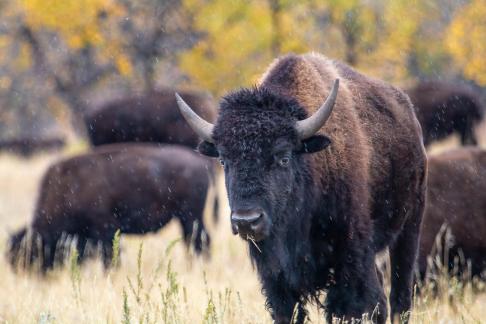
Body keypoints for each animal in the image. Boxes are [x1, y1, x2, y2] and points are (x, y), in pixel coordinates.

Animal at [7, 144, 213, 270]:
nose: (28, 274)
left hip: (190, 216)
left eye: (32, 253)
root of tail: (201, 163)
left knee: (198, 242)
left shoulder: (105, 230)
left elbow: (110, 258)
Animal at [177, 52, 428, 322]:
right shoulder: (277, 279)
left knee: (398, 296)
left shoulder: (351, 260)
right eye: (224, 160)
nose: (246, 221)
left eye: (283, 157)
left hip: (409, 228)